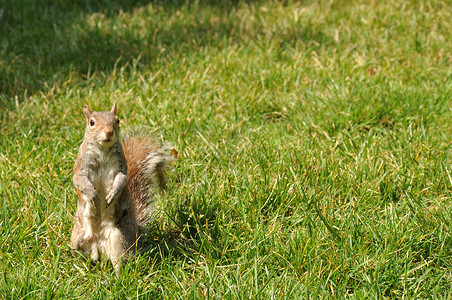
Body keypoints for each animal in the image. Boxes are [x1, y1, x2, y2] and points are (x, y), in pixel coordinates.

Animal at [69, 103, 174, 274]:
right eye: (92, 122)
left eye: (117, 120)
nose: (108, 132)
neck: (102, 149)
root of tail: (98, 247)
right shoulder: (81, 165)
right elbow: (79, 180)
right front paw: (92, 194)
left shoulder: (121, 167)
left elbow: (122, 179)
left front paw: (113, 194)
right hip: (78, 238)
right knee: (80, 255)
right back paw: (81, 269)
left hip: (119, 239)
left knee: (120, 260)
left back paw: (117, 277)